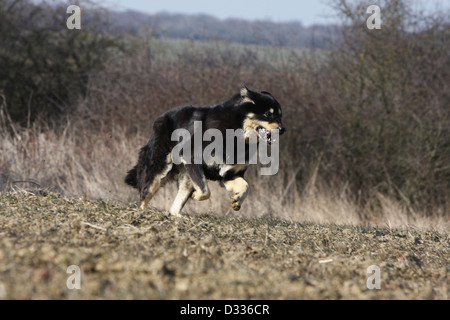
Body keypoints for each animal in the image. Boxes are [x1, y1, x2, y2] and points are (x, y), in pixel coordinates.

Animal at [124, 87, 284, 218]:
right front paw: (197, 196)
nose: (283, 129)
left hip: (187, 177)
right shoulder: (192, 157)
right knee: (144, 196)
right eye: (267, 114)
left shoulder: (229, 174)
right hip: (159, 169)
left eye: (280, 116)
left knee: (174, 207)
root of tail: (161, 117)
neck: (236, 131)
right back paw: (140, 214)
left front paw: (237, 201)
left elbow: (246, 186)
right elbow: (206, 191)